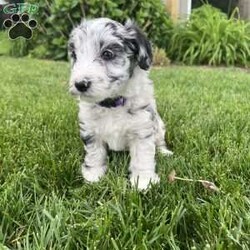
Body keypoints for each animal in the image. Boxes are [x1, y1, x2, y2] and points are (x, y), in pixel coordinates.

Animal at [69, 17, 174, 189]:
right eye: (75, 56)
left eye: (107, 54)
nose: (80, 84)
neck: (112, 104)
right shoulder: (90, 130)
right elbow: (95, 153)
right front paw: (93, 175)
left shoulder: (142, 130)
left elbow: (142, 157)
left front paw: (143, 181)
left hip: (159, 126)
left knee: (159, 142)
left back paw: (164, 152)